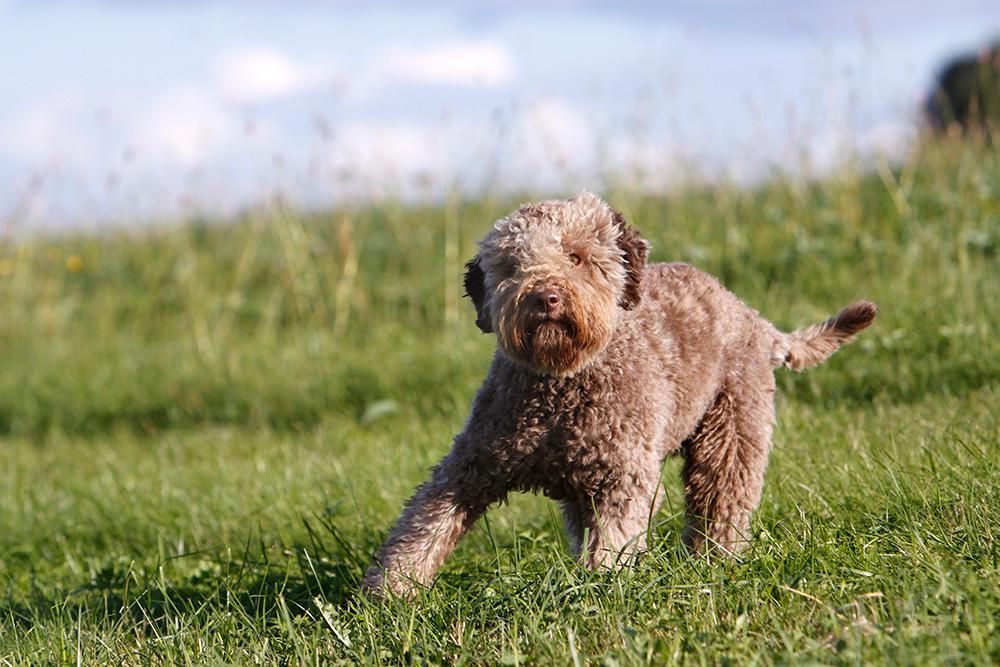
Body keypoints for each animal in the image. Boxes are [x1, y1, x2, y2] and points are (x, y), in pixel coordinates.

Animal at [362, 190, 876, 596]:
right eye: (511, 266)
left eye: (576, 257)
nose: (544, 297)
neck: (560, 391)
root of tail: (753, 317)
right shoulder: (471, 465)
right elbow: (421, 527)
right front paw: (388, 595)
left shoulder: (622, 479)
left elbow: (613, 544)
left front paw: (598, 592)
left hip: (730, 433)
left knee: (721, 504)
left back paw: (714, 563)